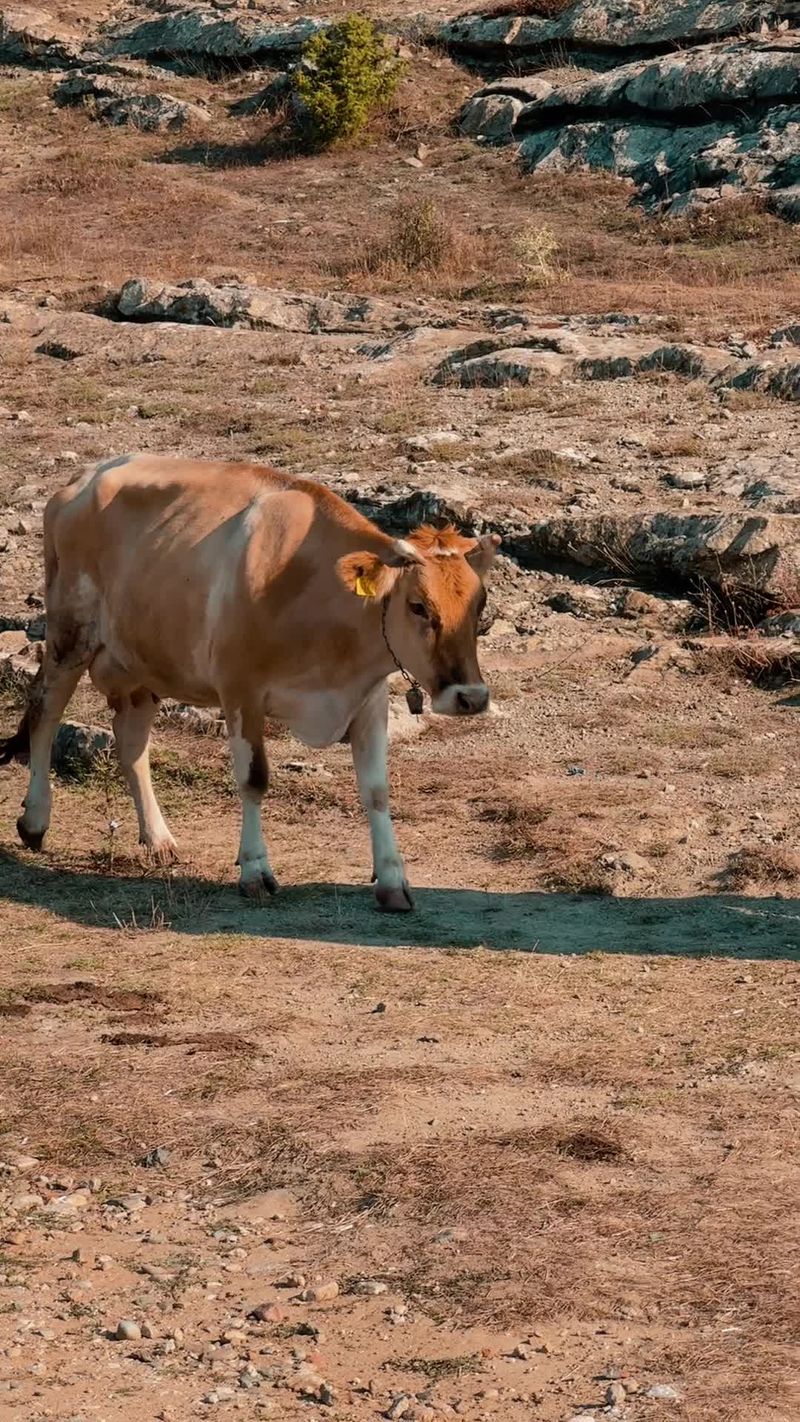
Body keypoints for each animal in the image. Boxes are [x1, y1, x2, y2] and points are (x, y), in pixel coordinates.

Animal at [0, 455, 500, 911]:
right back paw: (36, 820)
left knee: (131, 743)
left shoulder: (368, 698)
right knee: (45, 712)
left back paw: (158, 838)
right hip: (70, 635)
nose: (470, 697)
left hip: (142, 662)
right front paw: (256, 870)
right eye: (418, 606)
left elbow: (377, 791)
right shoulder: (240, 690)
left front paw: (393, 880)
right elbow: (254, 778)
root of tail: (83, 478)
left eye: (479, 603)